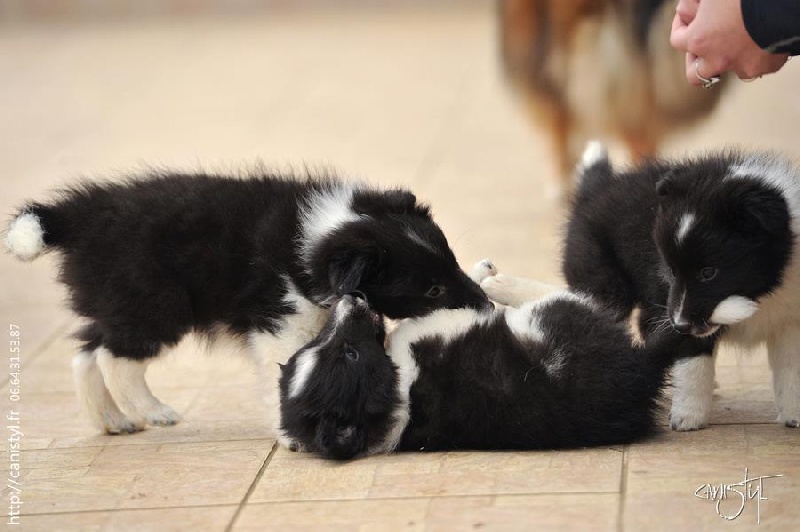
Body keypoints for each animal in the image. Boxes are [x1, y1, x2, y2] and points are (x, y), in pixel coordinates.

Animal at [6, 172, 490, 434]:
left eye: (452, 262)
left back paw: (113, 422)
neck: (321, 240)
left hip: (116, 301)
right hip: (154, 303)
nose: (484, 304)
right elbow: (289, 366)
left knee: (87, 353)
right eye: (432, 290)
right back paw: (154, 412)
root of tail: (75, 217)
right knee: (114, 358)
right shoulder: (281, 319)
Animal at [278, 260, 704, 460]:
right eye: (348, 354)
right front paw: (477, 282)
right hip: (554, 320)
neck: (399, 390)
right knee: (565, 296)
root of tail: (642, 369)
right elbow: (454, 308)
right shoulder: (433, 331)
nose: (352, 298)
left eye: (323, 345)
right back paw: (497, 281)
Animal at [564, 143, 800, 430]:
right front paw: (688, 417)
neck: (761, 294)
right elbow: (693, 363)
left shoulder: (790, 319)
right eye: (671, 269)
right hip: (604, 283)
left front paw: (794, 415)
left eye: (708, 273)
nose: (680, 325)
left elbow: (791, 368)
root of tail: (596, 189)